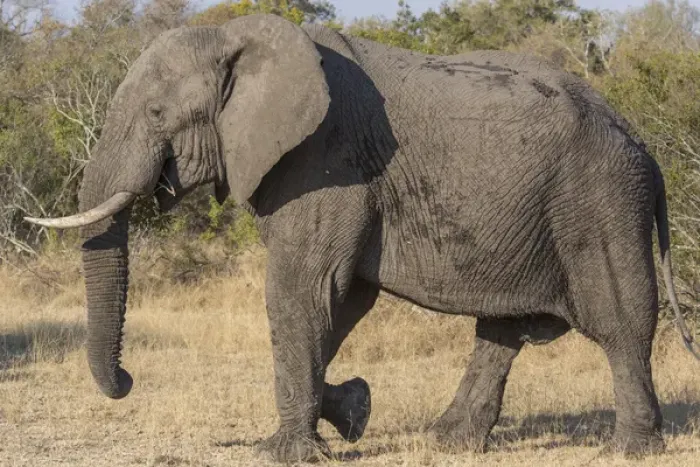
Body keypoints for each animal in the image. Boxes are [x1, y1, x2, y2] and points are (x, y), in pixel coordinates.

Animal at [26, 14, 700, 463]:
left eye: (158, 115)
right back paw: (449, 441)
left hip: (600, 201)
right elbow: (341, 300)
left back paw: (631, 449)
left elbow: (305, 289)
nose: (127, 382)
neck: (238, 38)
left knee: (619, 322)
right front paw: (354, 410)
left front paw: (285, 451)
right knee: (503, 330)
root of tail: (647, 149)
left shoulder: (325, 160)